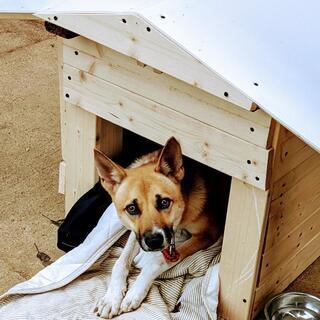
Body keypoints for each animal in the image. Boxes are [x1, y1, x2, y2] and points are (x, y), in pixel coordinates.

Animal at [92, 137, 230, 318]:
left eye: (164, 202)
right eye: (132, 208)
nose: (154, 241)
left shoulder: (207, 233)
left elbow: (157, 261)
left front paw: (135, 292)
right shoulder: (137, 234)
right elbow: (120, 262)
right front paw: (111, 297)